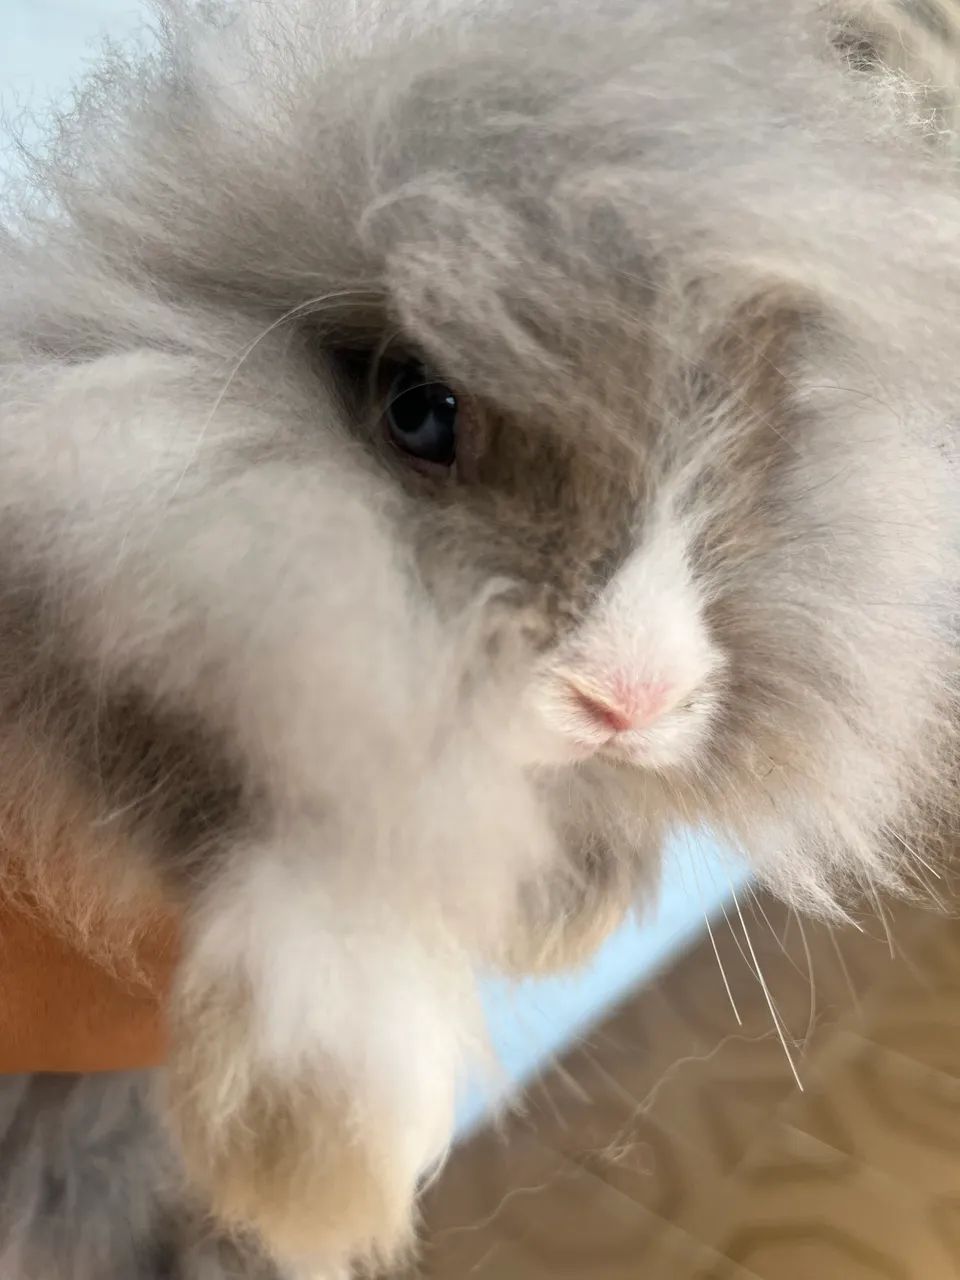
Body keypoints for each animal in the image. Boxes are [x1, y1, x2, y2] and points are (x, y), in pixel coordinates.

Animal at [0, 0, 958, 1274]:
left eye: (754, 431)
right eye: (419, 408)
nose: (631, 698)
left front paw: (566, 914)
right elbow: (309, 845)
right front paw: (316, 1153)